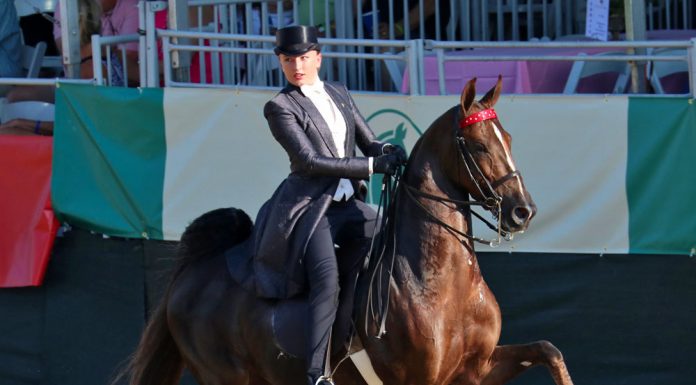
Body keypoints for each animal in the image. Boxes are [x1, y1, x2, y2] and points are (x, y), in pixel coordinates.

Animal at [121, 78, 572, 384]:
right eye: (478, 146)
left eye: (508, 139)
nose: (522, 211)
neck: (440, 281)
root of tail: (194, 275)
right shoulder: (422, 379)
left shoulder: (477, 369)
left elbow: (549, 350)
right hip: (227, 379)